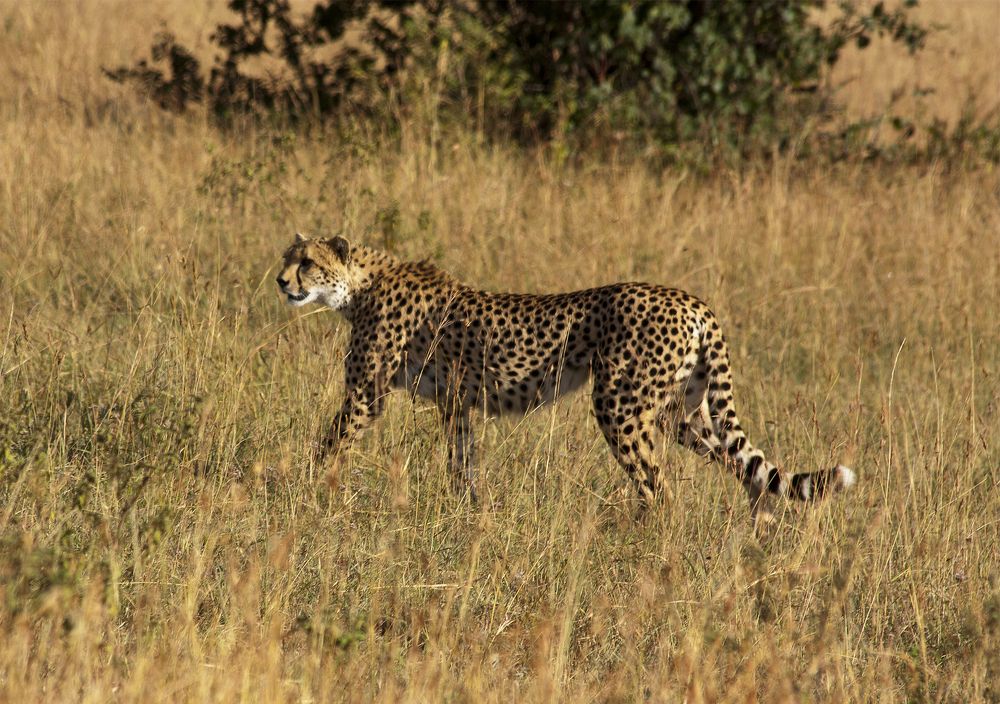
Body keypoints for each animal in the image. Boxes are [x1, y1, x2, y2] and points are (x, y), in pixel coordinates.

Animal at [275, 233, 855, 521]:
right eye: (287, 257)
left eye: (306, 262)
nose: (281, 282)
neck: (358, 286)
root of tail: (693, 300)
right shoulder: (456, 403)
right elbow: (462, 463)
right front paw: (469, 515)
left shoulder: (365, 395)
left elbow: (328, 446)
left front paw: (299, 491)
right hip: (681, 414)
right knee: (743, 466)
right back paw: (758, 528)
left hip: (621, 406)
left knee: (659, 487)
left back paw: (641, 546)